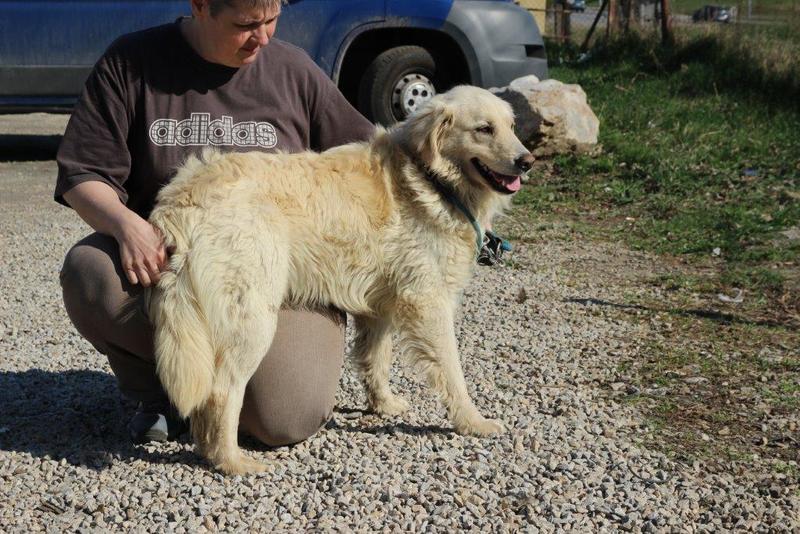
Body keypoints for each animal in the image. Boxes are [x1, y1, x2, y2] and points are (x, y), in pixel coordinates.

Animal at [147, 86, 534, 474]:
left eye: (512, 125)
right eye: (484, 129)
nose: (527, 162)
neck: (430, 179)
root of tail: (182, 197)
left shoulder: (380, 307)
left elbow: (375, 359)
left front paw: (384, 404)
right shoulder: (428, 302)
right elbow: (452, 371)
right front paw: (472, 421)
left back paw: (209, 450)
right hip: (253, 318)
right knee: (221, 391)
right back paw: (232, 461)